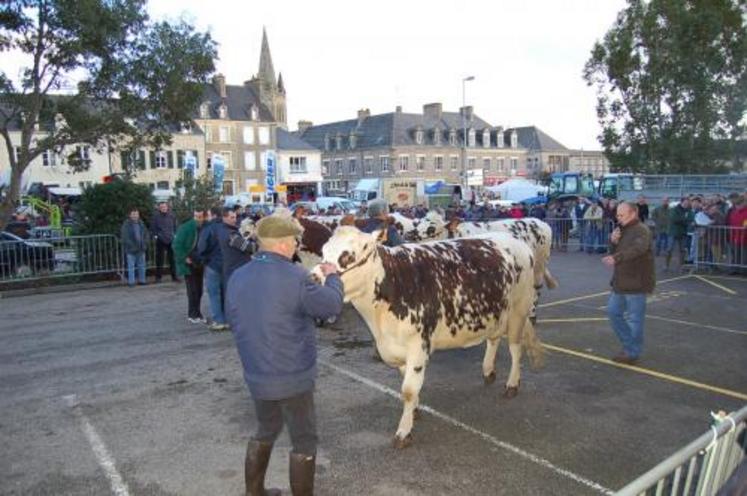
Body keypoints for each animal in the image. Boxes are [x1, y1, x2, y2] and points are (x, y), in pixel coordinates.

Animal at [316, 229, 544, 450]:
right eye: (323, 251)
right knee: (494, 339)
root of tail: (514, 239)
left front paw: (404, 432)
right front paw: (415, 410)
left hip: (518, 311)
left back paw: (512, 384)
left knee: (515, 348)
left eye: (348, 255)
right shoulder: (398, 349)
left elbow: (408, 390)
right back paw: (488, 371)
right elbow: (407, 385)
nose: (315, 278)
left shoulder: (418, 345)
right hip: (495, 313)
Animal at [412, 212, 560, 322]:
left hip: (539, 265)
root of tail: (541, 222)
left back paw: (532, 314)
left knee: (537, 288)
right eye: (418, 224)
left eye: (431, 229)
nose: (411, 235)